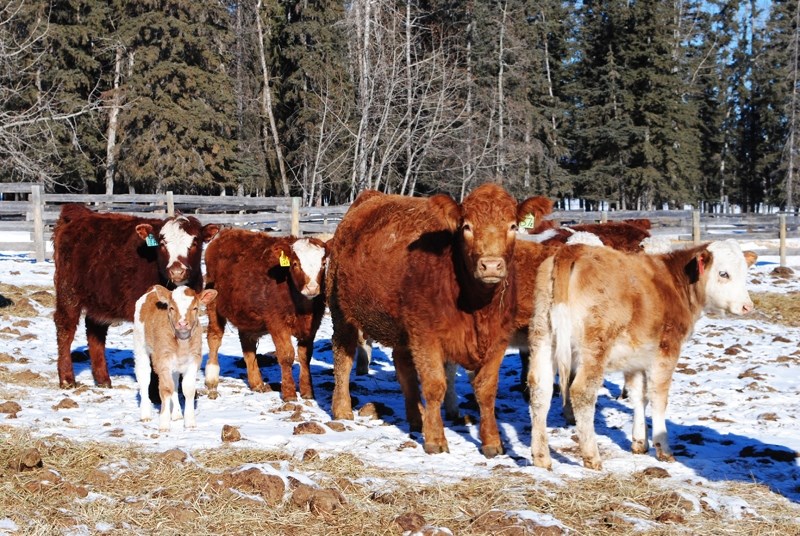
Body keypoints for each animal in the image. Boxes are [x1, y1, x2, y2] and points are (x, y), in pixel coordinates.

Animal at [52, 203, 219, 388]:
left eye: (195, 241)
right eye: (162, 243)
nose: (177, 271)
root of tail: (81, 213)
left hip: (100, 298)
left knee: (95, 331)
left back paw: (103, 379)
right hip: (68, 291)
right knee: (65, 329)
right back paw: (67, 379)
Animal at [134, 284, 217, 432]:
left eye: (195, 308)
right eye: (171, 308)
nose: (182, 324)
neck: (181, 343)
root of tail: (152, 289)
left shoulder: (194, 360)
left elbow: (188, 389)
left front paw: (189, 422)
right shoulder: (162, 361)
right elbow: (166, 389)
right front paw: (164, 424)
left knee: (175, 382)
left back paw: (177, 414)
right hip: (140, 345)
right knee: (144, 377)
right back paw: (145, 414)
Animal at [203, 227, 328, 402]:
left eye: (323, 264)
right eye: (295, 264)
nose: (312, 288)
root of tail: (225, 232)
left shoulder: (313, 324)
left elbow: (305, 356)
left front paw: (307, 392)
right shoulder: (277, 323)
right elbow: (287, 355)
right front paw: (289, 394)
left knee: (247, 344)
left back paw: (257, 383)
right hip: (213, 303)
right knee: (214, 338)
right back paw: (212, 380)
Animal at [324, 183, 536, 456]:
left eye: (512, 226)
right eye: (467, 227)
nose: (490, 265)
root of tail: (370, 196)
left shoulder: (498, 339)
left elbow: (486, 390)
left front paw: (492, 443)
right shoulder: (426, 337)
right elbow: (435, 385)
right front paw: (435, 439)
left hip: (402, 330)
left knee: (403, 367)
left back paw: (417, 418)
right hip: (341, 312)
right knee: (344, 358)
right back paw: (342, 409)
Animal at [524, 239, 756, 468]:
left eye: (745, 273)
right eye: (723, 274)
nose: (747, 306)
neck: (674, 282)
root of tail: (572, 249)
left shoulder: (635, 358)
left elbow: (638, 396)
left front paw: (639, 442)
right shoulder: (666, 350)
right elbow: (658, 398)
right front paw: (663, 448)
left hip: (543, 339)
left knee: (540, 390)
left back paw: (541, 457)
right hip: (594, 348)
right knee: (582, 392)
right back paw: (592, 457)